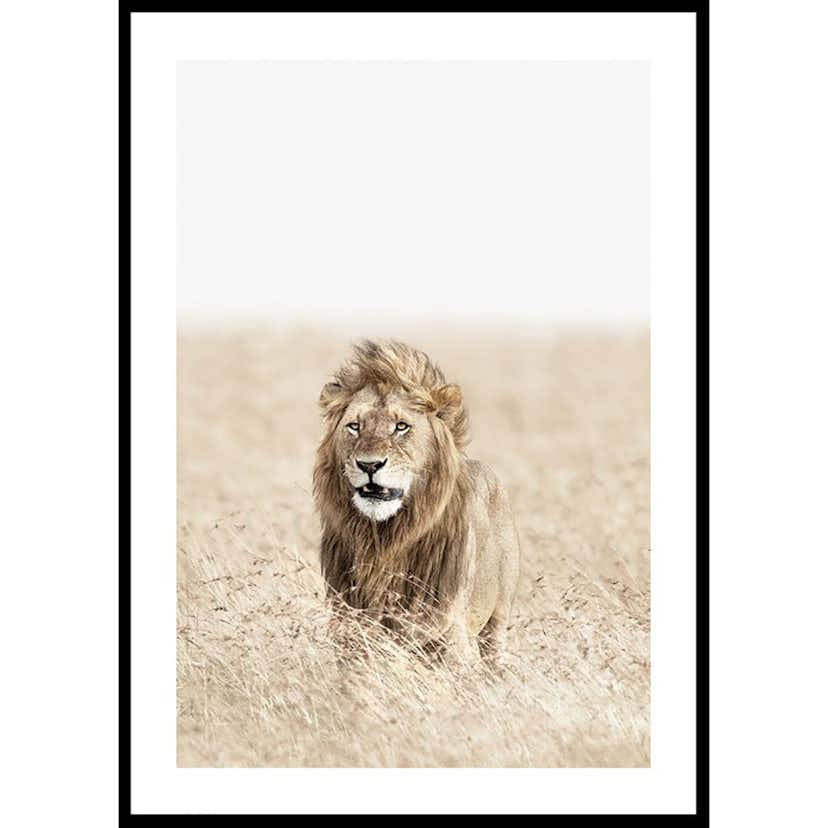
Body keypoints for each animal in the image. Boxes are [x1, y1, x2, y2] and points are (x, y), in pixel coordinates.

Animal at [312, 339, 520, 667]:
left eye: (401, 426)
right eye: (355, 426)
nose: (369, 464)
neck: (383, 540)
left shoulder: (448, 632)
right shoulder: (349, 627)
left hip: (497, 619)